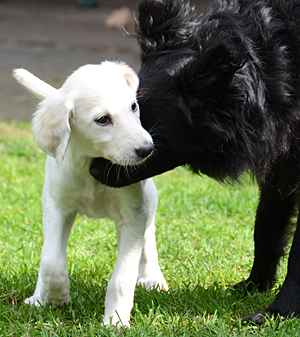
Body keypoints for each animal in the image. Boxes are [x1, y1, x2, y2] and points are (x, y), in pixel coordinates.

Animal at [12, 61, 168, 326]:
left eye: (133, 106)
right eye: (102, 119)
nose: (147, 149)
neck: (92, 167)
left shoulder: (133, 215)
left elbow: (122, 277)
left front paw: (116, 320)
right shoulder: (57, 207)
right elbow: (51, 261)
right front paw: (57, 297)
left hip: (149, 198)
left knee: (149, 238)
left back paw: (152, 277)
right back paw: (38, 297)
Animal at [91, 0, 300, 322]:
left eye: (150, 146)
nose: (91, 169)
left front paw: (279, 310)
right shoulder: (281, 153)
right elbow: (266, 222)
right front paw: (254, 284)